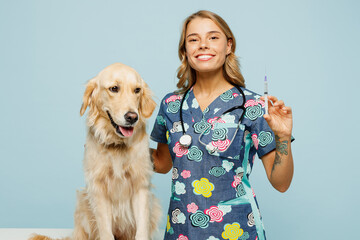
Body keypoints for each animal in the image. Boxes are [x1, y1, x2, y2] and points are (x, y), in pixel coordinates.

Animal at [29, 62, 162, 239]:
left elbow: (141, 229)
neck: (116, 144)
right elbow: (105, 229)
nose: (132, 117)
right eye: (114, 88)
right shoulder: (98, 188)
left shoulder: (140, 185)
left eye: (137, 90)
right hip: (82, 201)